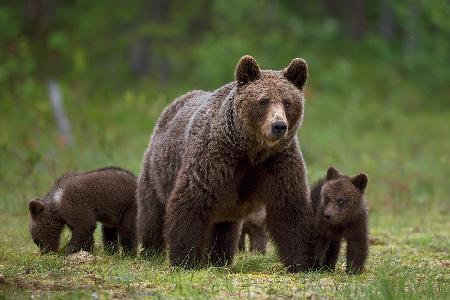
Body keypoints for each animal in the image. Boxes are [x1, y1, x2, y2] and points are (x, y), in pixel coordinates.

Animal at [136, 54, 312, 272]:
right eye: (263, 101)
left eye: (287, 102)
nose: (278, 126)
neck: (250, 149)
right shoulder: (215, 159)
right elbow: (191, 201)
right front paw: (185, 260)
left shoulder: (277, 161)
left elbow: (290, 209)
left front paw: (302, 261)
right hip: (157, 169)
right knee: (152, 212)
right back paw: (151, 250)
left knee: (224, 228)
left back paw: (220, 258)